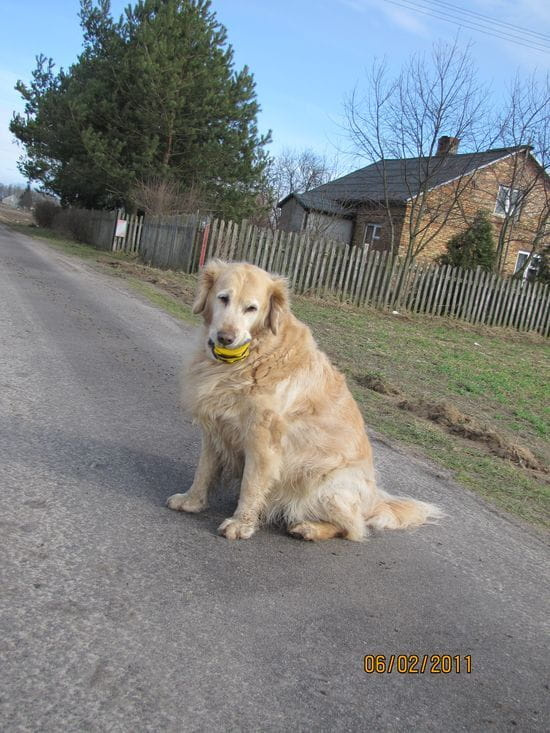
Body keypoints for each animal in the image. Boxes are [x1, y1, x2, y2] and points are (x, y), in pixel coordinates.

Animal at [168, 260, 444, 540]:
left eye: (251, 308)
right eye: (223, 298)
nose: (226, 337)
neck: (255, 355)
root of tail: (374, 500)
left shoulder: (263, 440)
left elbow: (251, 485)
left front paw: (240, 524)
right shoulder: (215, 427)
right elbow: (204, 470)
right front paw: (191, 501)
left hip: (324, 483)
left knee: (352, 527)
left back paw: (309, 528)